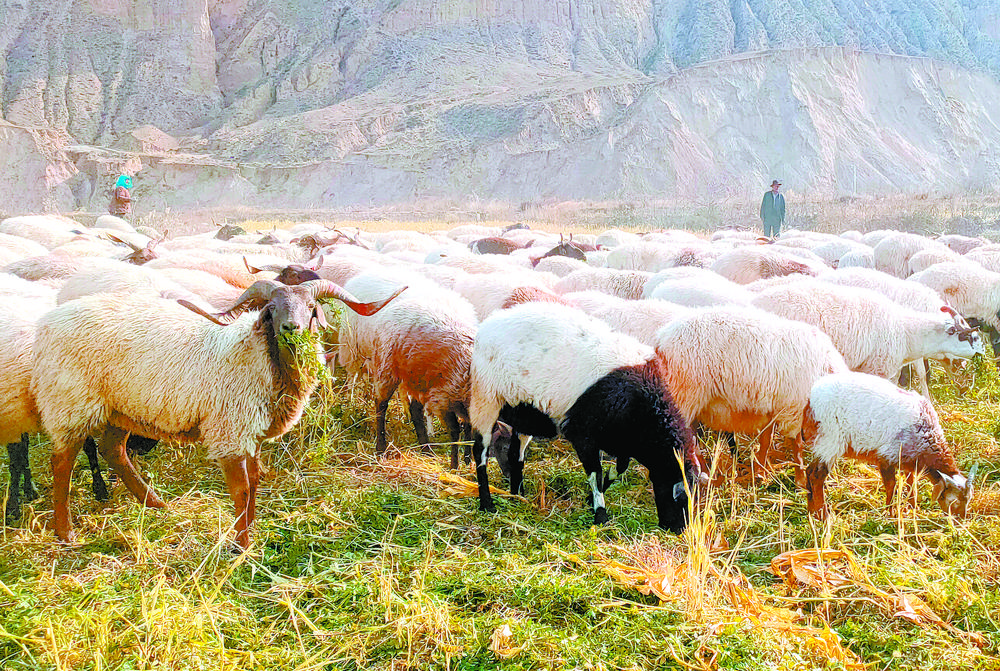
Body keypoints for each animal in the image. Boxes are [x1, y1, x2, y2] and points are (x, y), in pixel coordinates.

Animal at [464, 302, 700, 532]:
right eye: (680, 498)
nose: (679, 530)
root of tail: (489, 322)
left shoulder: (621, 439)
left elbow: (618, 469)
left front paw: (591, 500)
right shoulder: (583, 433)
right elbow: (596, 472)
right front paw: (600, 515)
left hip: (525, 411)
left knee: (515, 454)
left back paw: (518, 494)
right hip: (486, 397)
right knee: (481, 452)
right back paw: (487, 504)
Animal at [804, 372, 976, 520]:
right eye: (955, 500)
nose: (961, 520)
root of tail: (811, 401)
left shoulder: (908, 459)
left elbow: (911, 483)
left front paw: (913, 508)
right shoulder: (887, 456)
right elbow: (891, 485)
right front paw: (891, 512)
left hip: (823, 443)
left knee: (809, 471)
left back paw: (812, 511)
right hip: (830, 440)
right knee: (817, 476)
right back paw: (823, 516)